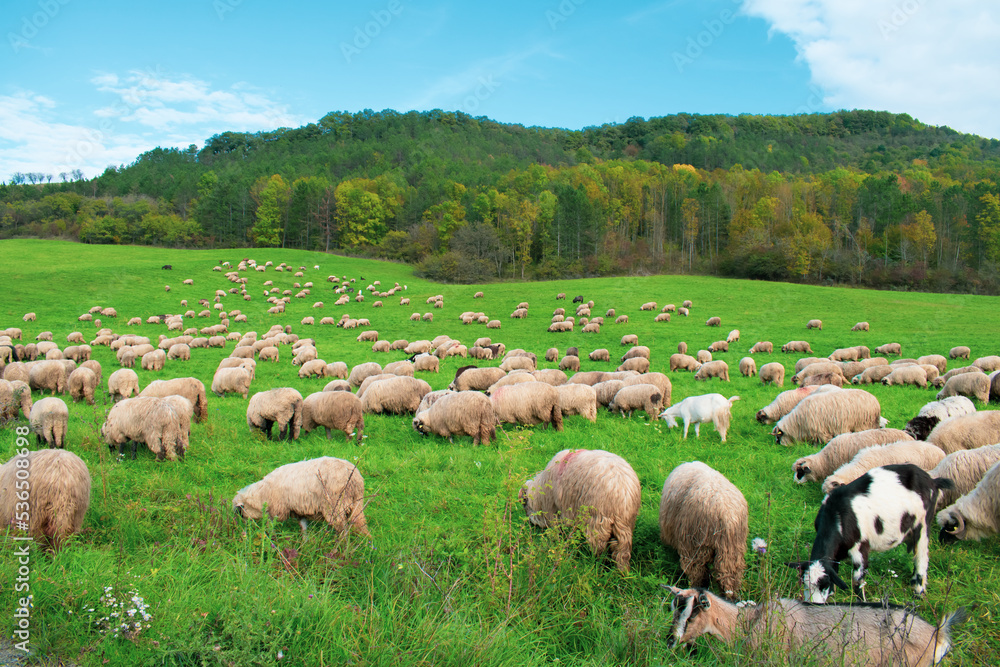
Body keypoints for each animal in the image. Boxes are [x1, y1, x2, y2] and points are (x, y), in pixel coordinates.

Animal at [233, 457, 370, 538]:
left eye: (238, 512)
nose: (241, 529)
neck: (262, 494)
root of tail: (354, 476)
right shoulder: (299, 510)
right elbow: (303, 527)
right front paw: (304, 541)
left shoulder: (277, 510)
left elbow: (270, 524)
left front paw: (270, 536)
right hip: (357, 502)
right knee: (360, 523)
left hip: (335, 504)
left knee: (342, 528)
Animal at [790, 464, 953, 602]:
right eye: (804, 583)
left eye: (824, 584)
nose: (813, 604)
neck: (836, 515)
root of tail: (932, 480)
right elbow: (834, 569)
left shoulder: (860, 548)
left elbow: (857, 582)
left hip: (923, 525)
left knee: (921, 558)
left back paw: (918, 592)